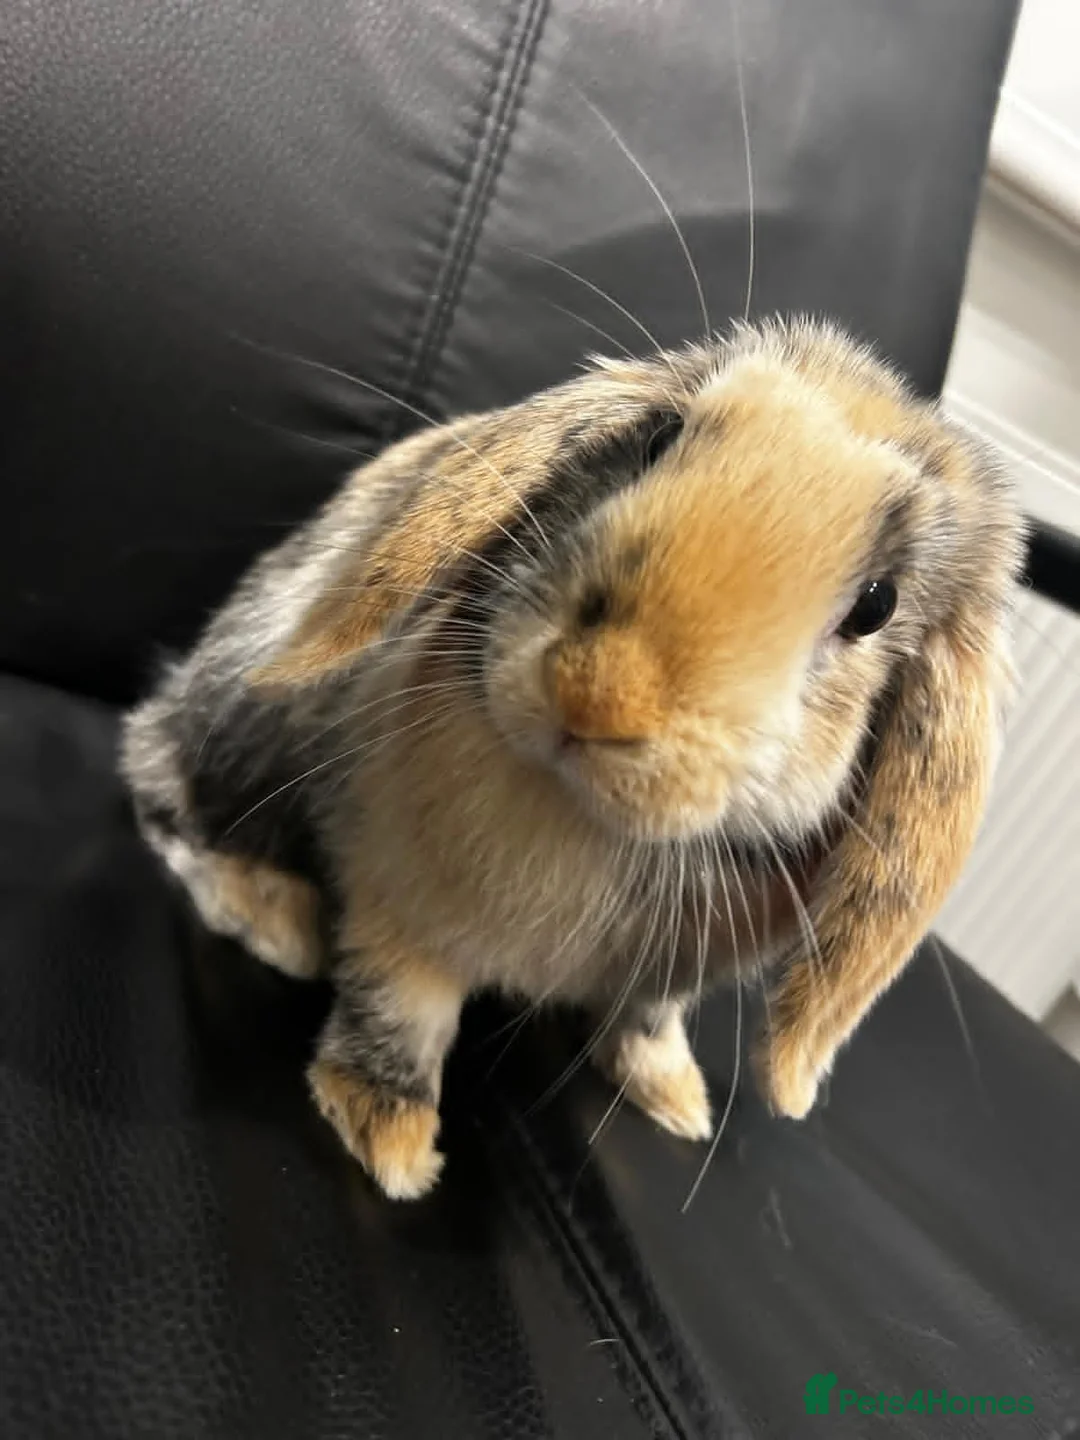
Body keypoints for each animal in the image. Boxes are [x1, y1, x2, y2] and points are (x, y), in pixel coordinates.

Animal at [121, 317, 1024, 1200]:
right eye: (660, 437)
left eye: (878, 604)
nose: (600, 690)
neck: (584, 819)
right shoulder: (399, 904)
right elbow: (399, 1010)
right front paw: (390, 1141)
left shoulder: (671, 977)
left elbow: (646, 1025)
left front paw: (676, 1100)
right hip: (242, 726)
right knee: (166, 795)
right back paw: (276, 918)